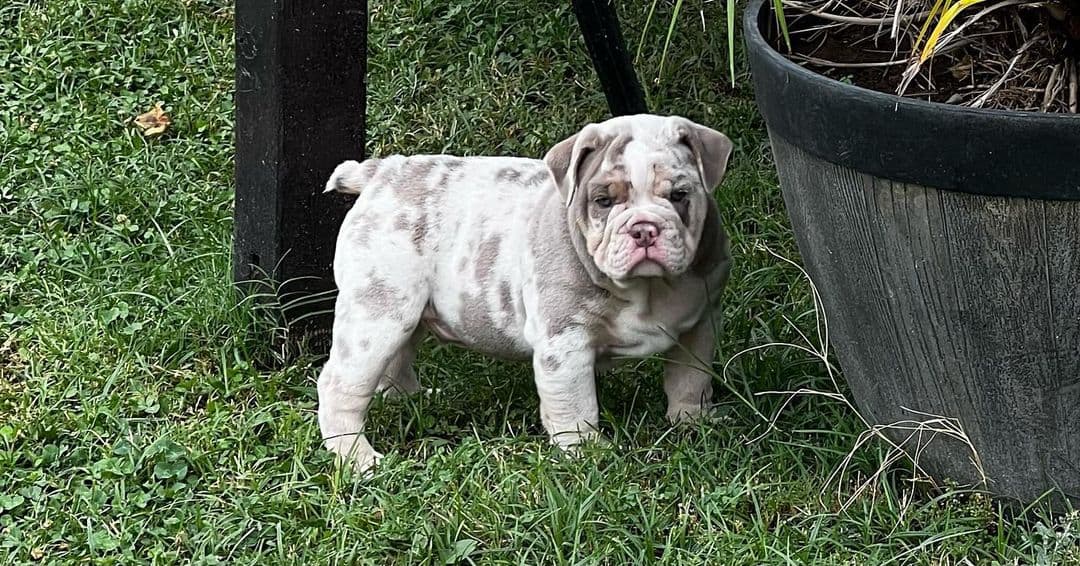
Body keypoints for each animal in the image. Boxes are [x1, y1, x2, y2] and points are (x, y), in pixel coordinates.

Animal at [315, 112, 730, 470]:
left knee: (395, 362)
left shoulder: (699, 326)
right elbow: (576, 405)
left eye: (679, 195)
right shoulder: (564, 343)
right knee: (340, 386)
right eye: (603, 201)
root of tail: (383, 172)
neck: (647, 287)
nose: (644, 229)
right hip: (378, 314)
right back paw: (357, 459)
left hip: (404, 313)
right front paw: (587, 454)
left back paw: (412, 400)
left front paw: (692, 422)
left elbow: (690, 379)